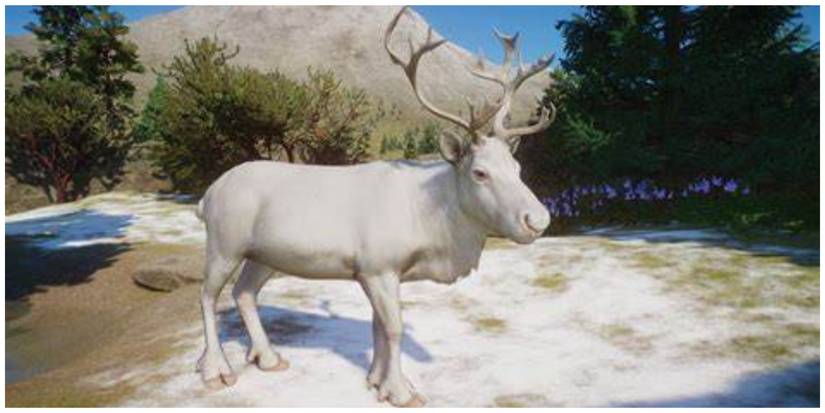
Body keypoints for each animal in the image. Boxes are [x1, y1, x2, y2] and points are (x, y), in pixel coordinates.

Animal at [194, 6, 556, 407]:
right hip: (224, 243)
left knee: (243, 293)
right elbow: (394, 327)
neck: (433, 220)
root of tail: (208, 194)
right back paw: (215, 370)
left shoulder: (378, 272)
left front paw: (375, 380)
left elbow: (378, 327)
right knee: (207, 296)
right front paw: (401, 391)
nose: (538, 219)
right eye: (480, 172)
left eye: (517, 168)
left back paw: (268, 357)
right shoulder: (378, 267)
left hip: (263, 255)